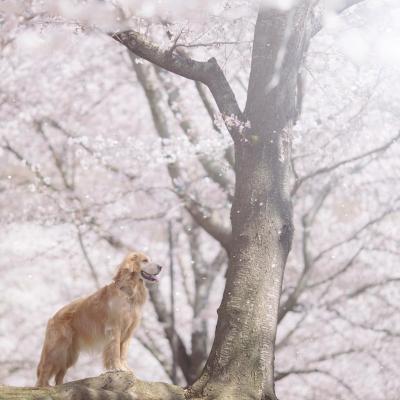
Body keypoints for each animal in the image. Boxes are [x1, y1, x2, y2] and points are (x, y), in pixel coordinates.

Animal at [35, 252, 162, 386]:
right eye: (145, 261)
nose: (161, 266)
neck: (128, 293)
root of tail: (52, 318)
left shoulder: (128, 333)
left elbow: (123, 353)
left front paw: (125, 369)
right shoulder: (114, 329)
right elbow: (115, 351)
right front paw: (118, 367)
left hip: (69, 355)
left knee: (59, 375)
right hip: (55, 350)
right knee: (44, 371)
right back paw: (42, 387)